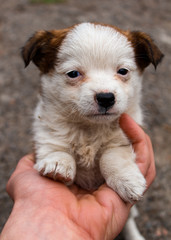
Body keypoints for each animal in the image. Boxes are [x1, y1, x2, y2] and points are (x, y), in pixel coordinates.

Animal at [22, 22, 164, 240]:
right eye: (73, 73)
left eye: (123, 71)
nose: (106, 98)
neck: (89, 128)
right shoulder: (46, 131)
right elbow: (56, 146)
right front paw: (58, 163)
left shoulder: (122, 140)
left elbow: (111, 157)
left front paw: (127, 179)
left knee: (129, 221)